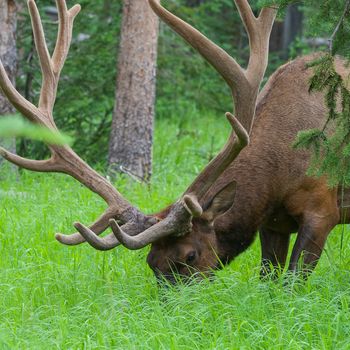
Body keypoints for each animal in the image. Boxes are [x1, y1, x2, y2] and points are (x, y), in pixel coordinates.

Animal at [0, 0, 348, 284]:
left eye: (189, 256)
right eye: (151, 262)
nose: (172, 310)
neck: (279, 172)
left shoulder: (322, 209)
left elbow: (292, 282)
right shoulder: (273, 224)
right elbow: (268, 280)